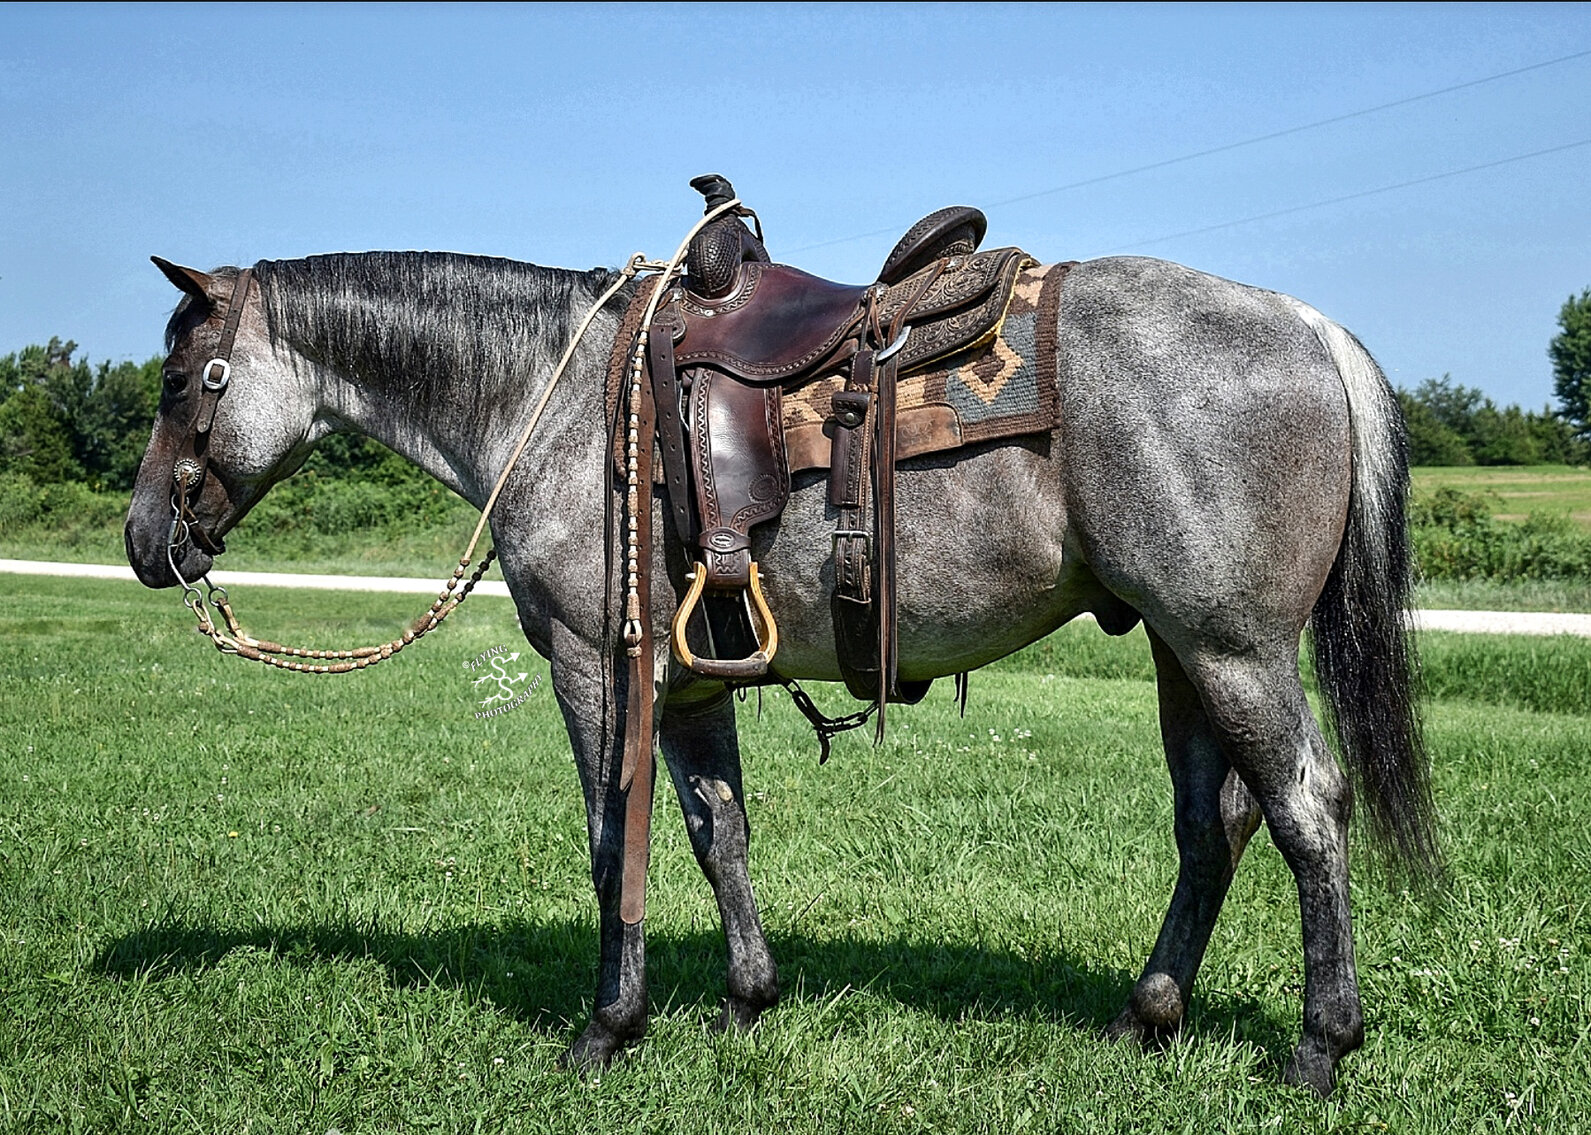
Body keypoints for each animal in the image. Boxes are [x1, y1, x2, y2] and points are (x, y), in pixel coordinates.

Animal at [124, 246, 1438, 1097]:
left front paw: (607, 1027)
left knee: (1306, 808)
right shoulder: (693, 681)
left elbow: (614, 845)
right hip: (1180, 649)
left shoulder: (595, 670)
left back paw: (1320, 1044)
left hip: (1231, 647)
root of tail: (1304, 324)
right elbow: (719, 834)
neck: (555, 401)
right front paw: (745, 999)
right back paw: (1145, 1016)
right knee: (1214, 822)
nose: (145, 541)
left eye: (186, 381)